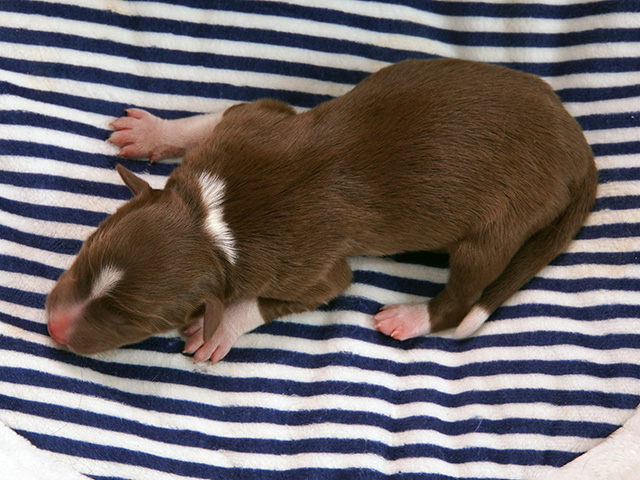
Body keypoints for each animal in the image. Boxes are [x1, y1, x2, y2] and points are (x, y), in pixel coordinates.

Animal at [46, 58, 598, 363]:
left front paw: (217, 328)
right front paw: (157, 131)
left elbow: (295, 293)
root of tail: (579, 149)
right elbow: (226, 115)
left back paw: (413, 317)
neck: (211, 223)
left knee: (465, 295)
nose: (54, 329)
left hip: (499, 226)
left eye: (131, 319)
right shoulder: (252, 124)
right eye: (85, 253)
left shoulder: (308, 265)